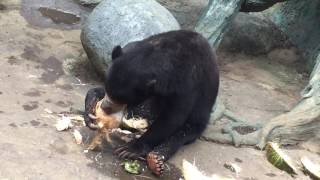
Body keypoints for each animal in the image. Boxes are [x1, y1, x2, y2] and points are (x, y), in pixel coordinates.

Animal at [84, 29, 220, 176]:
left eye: (123, 99)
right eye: (109, 89)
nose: (105, 106)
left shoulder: (187, 82)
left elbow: (172, 117)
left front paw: (130, 149)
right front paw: (90, 110)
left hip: (201, 111)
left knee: (186, 131)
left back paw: (156, 158)